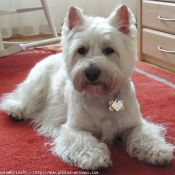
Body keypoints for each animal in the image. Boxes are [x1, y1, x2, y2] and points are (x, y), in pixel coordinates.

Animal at [0, 4, 174, 170]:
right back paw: (15, 110)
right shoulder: (73, 128)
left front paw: (158, 150)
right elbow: (84, 140)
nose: (91, 72)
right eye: (81, 50)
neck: (101, 96)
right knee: (21, 97)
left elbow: (145, 134)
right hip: (36, 84)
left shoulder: (134, 123)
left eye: (109, 50)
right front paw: (95, 157)